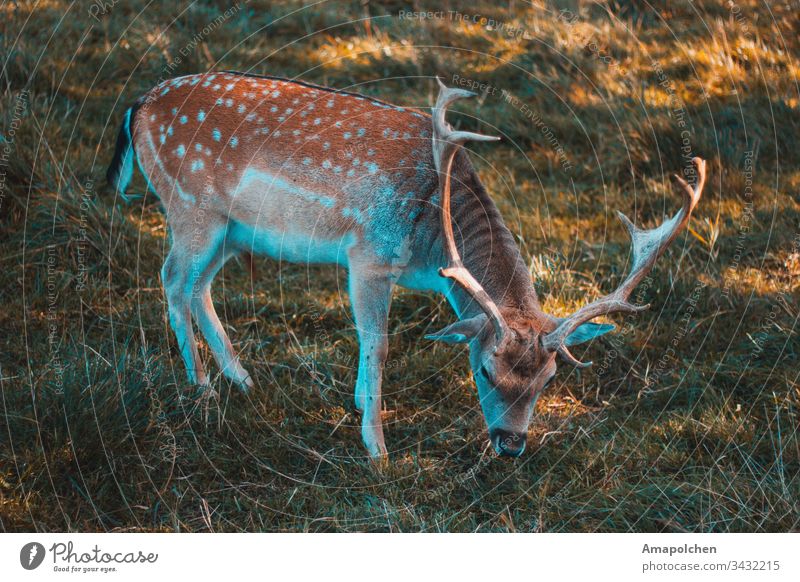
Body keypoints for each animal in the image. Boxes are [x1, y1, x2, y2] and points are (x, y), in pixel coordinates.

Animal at [108, 72, 708, 460]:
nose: (512, 445)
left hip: (232, 231)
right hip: (191, 207)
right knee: (171, 279)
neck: (433, 247)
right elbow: (378, 343)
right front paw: (377, 447)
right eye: (483, 369)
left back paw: (241, 378)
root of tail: (136, 105)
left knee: (198, 286)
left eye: (549, 378)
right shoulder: (369, 256)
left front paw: (360, 410)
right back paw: (203, 390)